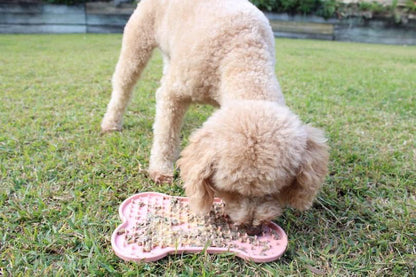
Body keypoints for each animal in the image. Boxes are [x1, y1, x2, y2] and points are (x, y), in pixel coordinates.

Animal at [101, 0, 328, 229]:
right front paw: (161, 169)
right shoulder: (174, 93)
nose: (250, 228)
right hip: (138, 39)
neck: (242, 51)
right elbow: (166, 133)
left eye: (274, 191)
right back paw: (111, 122)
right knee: (124, 83)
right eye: (231, 191)